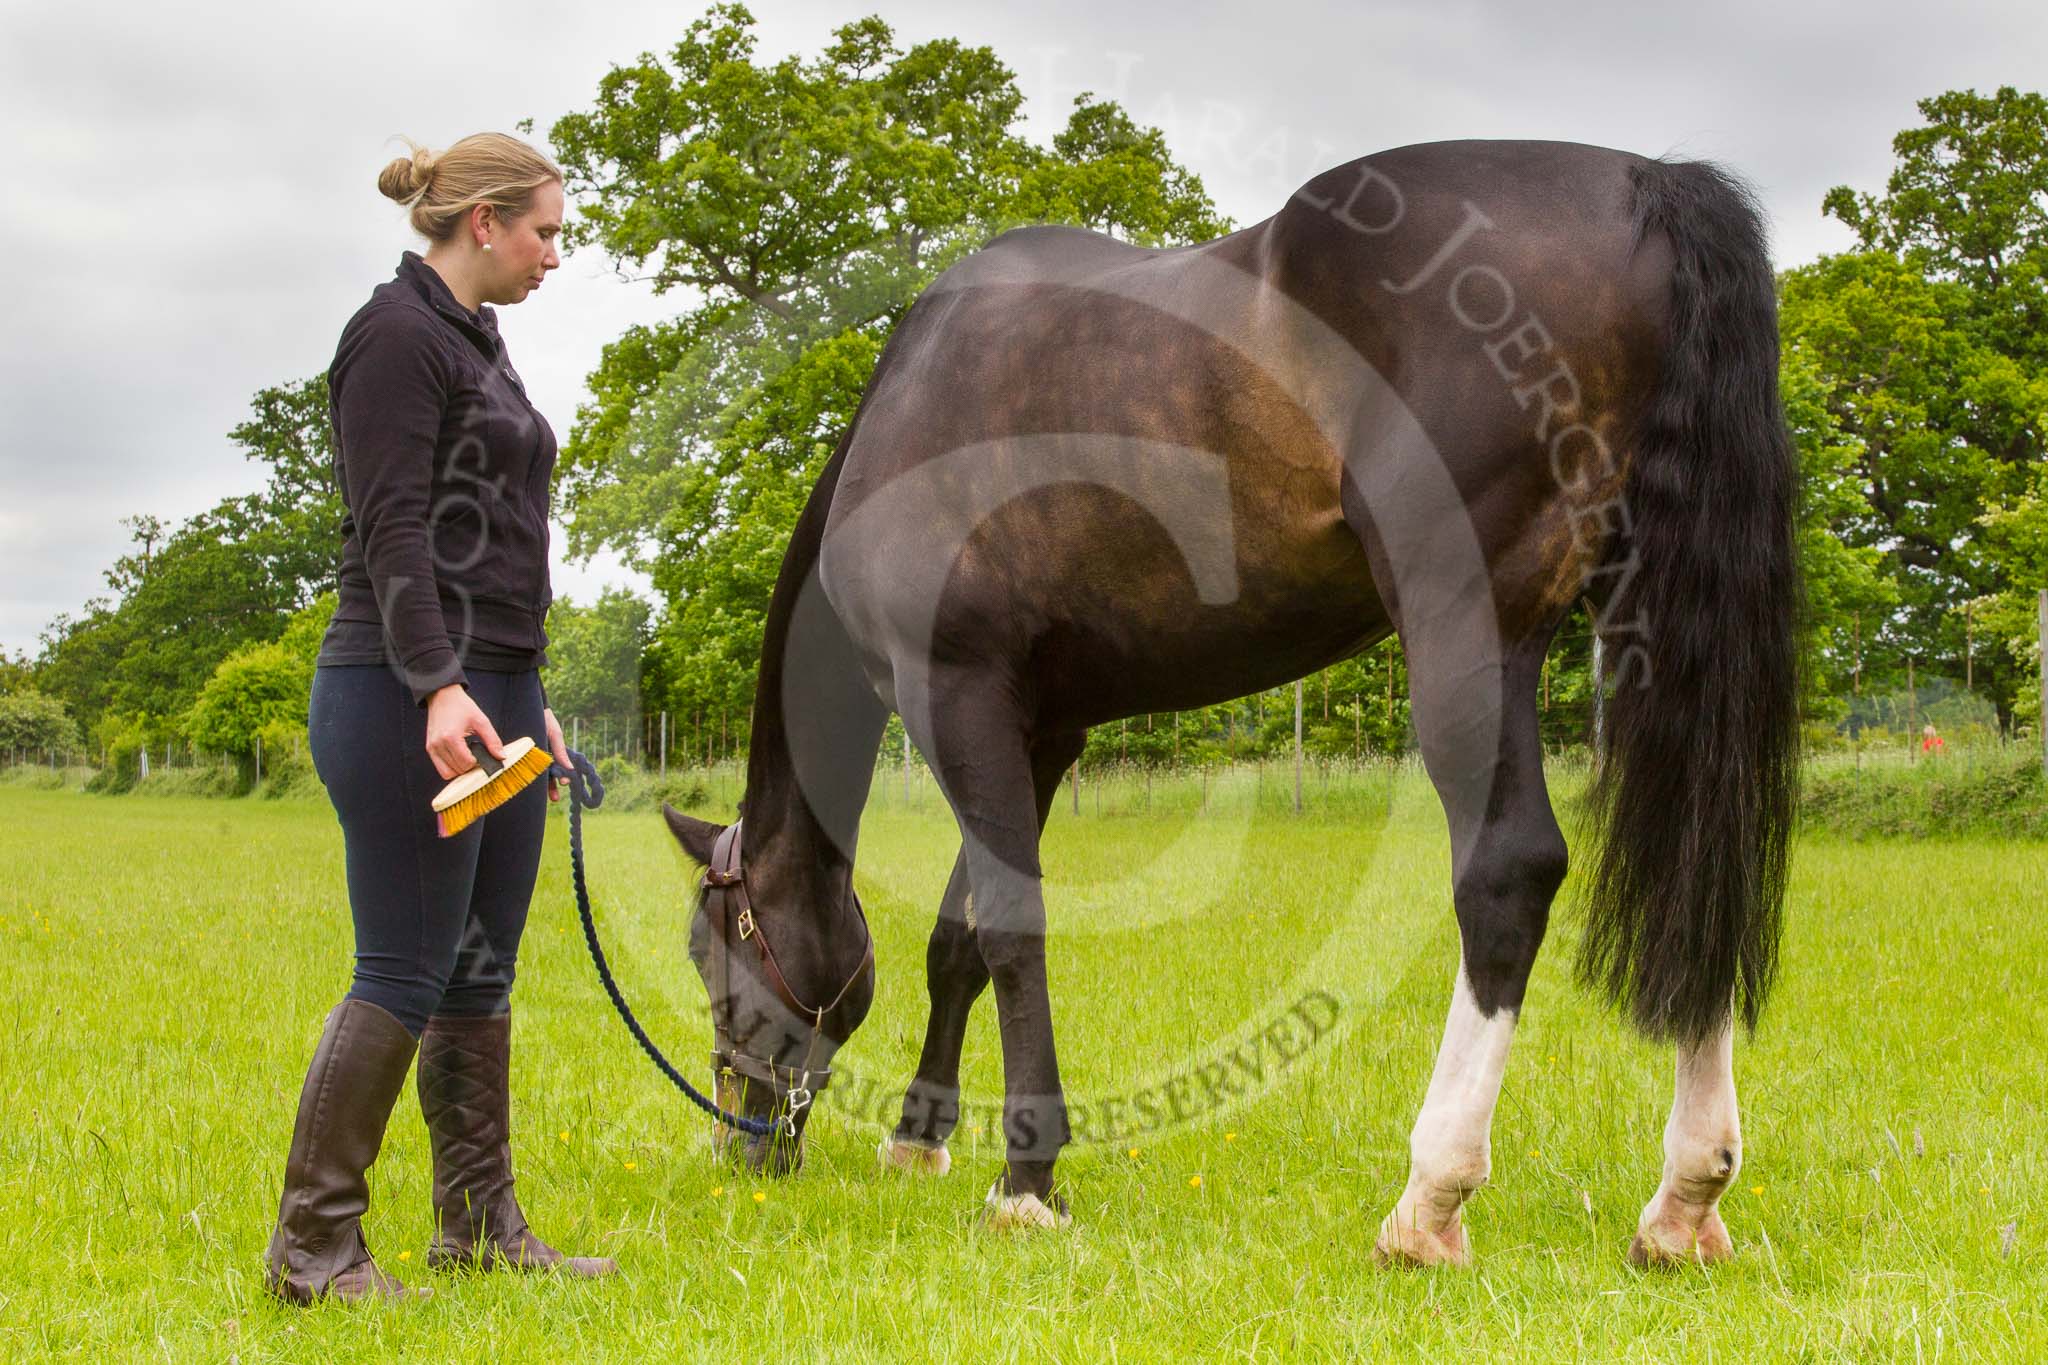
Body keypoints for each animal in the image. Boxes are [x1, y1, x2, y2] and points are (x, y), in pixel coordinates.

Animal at [659, 141, 1794, 1268]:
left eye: (709, 948)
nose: (740, 1142)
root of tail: (1644, 183)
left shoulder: (954, 694)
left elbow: (1009, 931)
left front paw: (1026, 1183)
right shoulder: (1040, 730)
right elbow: (957, 941)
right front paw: (917, 1141)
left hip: (1469, 627)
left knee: (1507, 871)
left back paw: (1428, 1199)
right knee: (1696, 859)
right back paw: (1682, 1198)